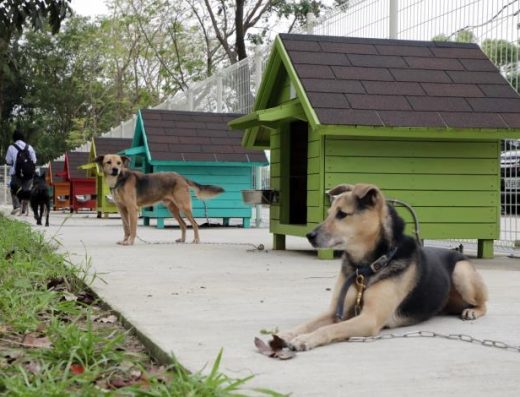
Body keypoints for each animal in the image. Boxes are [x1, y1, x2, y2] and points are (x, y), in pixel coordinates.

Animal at [95, 152, 223, 243]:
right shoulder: (122, 209)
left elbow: (132, 228)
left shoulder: (132, 208)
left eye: (119, 163)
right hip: (173, 209)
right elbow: (126, 227)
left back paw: (196, 240)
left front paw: (130, 242)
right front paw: (125, 240)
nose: (115, 170)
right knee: (183, 224)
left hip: (184, 206)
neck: (119, 180)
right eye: (108, 162)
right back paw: (182, 240)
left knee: (194, 224)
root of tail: (181, 177)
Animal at [270, 183, 486, 350]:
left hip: (462, 271)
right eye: (329, 214)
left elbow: (329, 328)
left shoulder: (369, 318)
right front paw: (288, 334)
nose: (309, 236)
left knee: (484, 303)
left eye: (342, 214)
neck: (367, 267)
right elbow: (309, 323)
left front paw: (305, 340)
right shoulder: (336, 311)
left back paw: (473, 311)